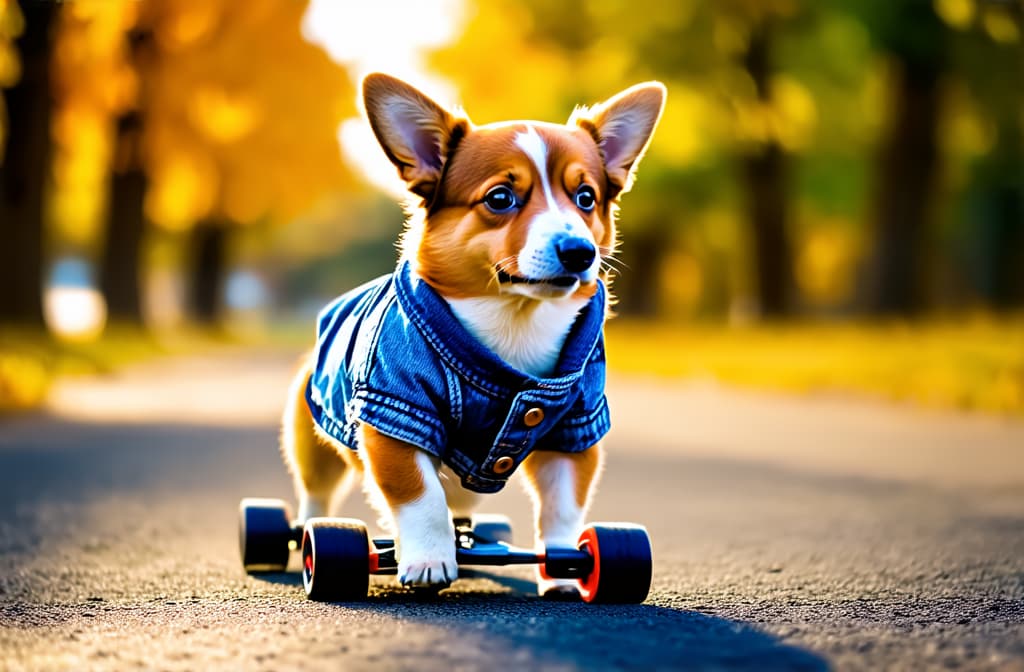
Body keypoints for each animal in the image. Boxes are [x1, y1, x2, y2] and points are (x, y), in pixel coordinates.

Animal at [280, 73, 663, 594]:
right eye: (500, 198)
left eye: (586, 198)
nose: (579, 251)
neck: (513, 323)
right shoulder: (395, 415)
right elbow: (418, 497)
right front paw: (427, 560)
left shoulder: (575, 430)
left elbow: (562, 508)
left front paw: (566, 568)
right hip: (312, 443)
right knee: (314, 500)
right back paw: (305, 536)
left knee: (459, 507)